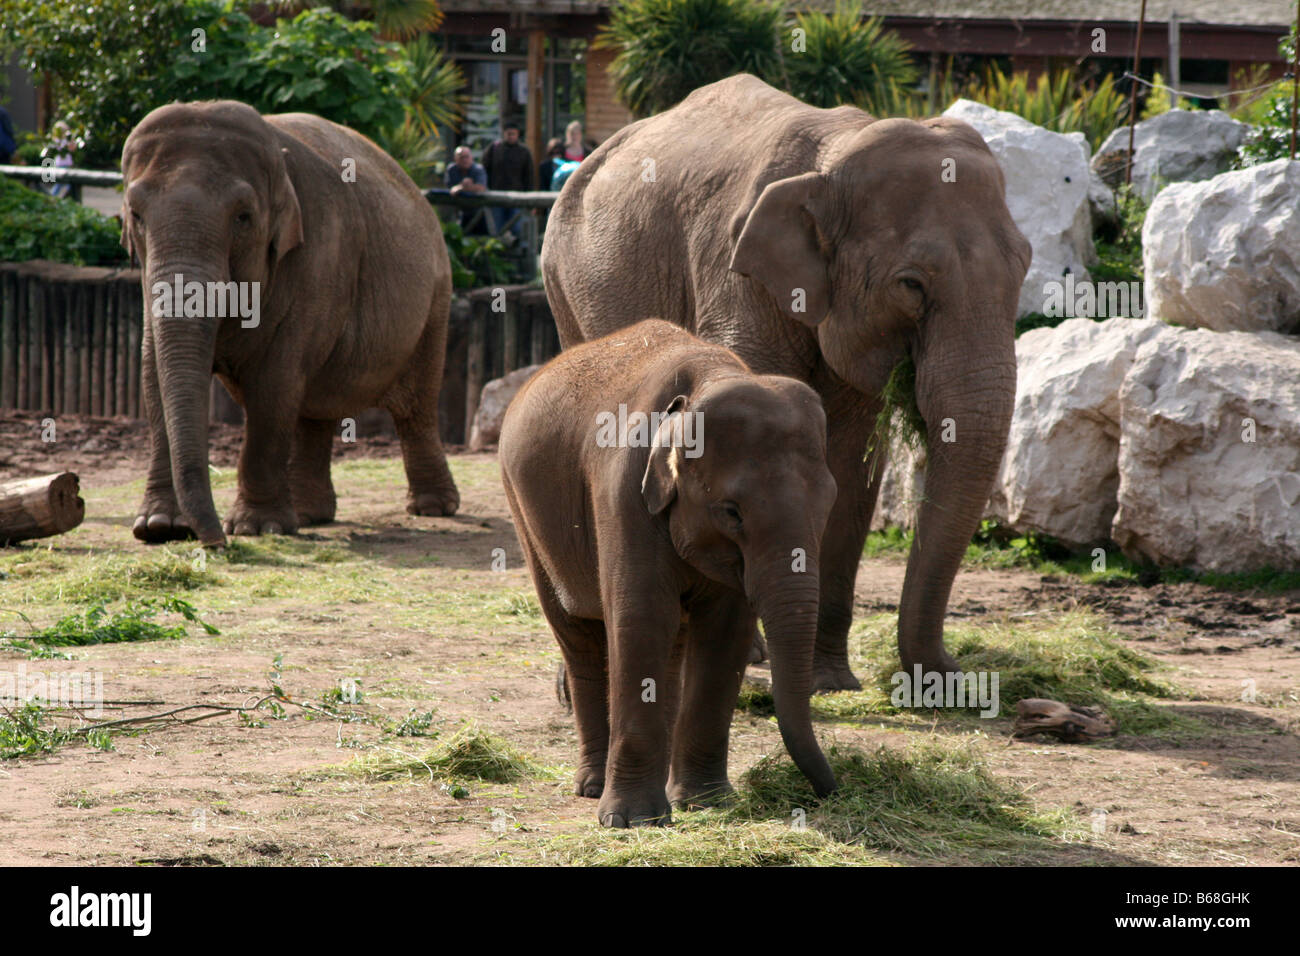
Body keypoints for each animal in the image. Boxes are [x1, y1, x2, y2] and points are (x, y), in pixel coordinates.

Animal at [122, 100, 457, 548]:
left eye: (243, 217)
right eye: (136, 215)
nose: (216, 544)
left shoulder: (317, 258)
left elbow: (274, 380)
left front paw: (255, 528)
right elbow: (152, 372)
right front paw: (159, 528)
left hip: (435, 300)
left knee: (416, 406)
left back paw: (433, 508)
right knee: (313, 408)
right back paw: (310, 515)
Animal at [501, 317, 837, 827]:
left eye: (828, 505)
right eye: (731, 512)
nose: (830, 791)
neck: (708, 379)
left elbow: (724, 633)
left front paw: (707, 802)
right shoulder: (622, 491)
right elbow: (642, 619)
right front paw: (632, 821)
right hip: (525, 514)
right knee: (578, 636)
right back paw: (592, 787)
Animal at [538, 74, 1024, 686]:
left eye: (1025, 270)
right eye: (911, 285)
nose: (951, 672)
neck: (837, 155)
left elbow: (851, 463)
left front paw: (830, 682)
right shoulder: (737, 279)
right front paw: (745, 655)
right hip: (561, 279)